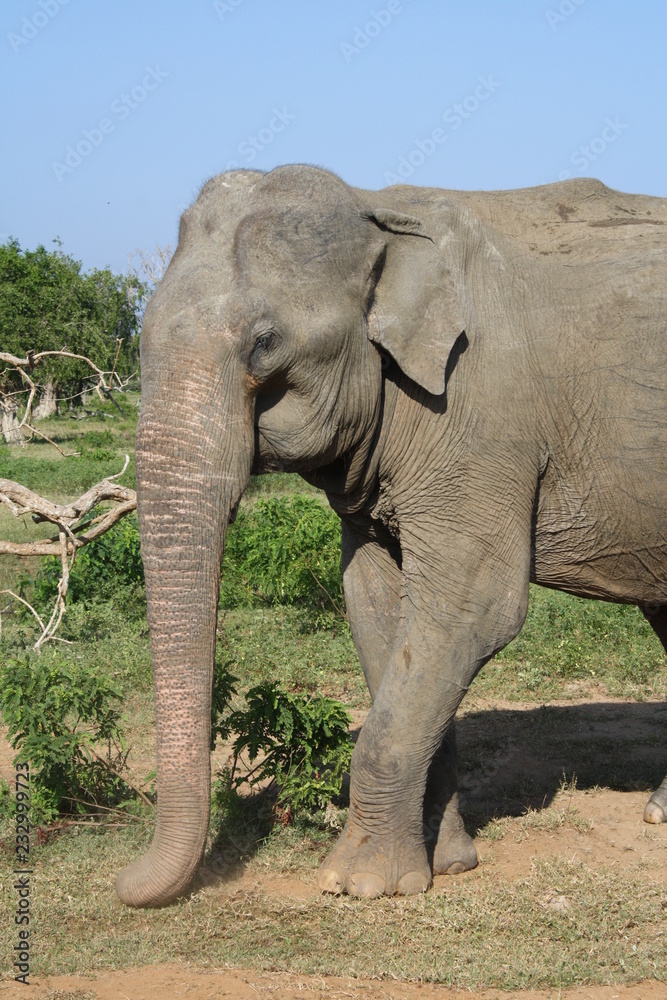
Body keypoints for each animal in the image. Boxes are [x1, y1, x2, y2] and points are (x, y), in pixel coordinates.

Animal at [116, 164, 666, 907]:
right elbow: (375, 603)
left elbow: (473, 609)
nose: (122, 883)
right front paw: (448, 864)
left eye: (264, 344)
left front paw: (358, 884)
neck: (378, 209)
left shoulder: (479, 418)